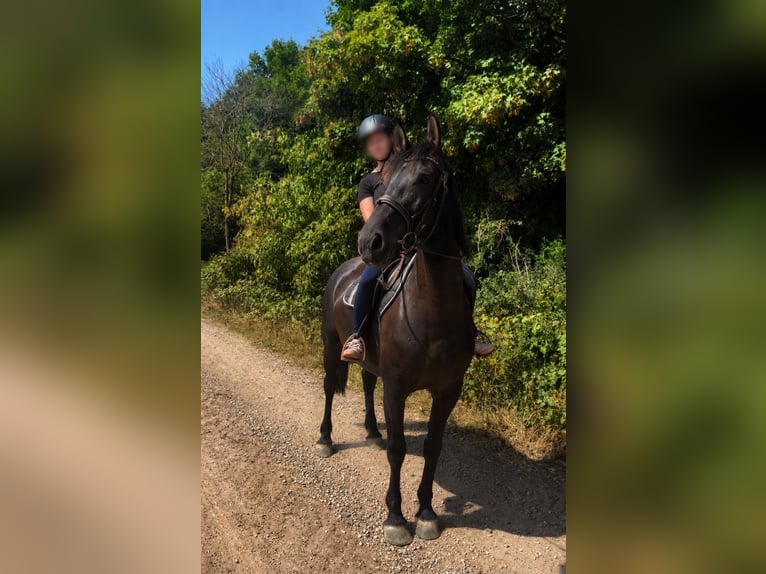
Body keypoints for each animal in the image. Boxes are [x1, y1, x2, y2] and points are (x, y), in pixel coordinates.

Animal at [316, 114, 475, 546]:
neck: (432, 316)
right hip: (330, 345)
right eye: (384, 183)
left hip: (372, 363)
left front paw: (426, 512)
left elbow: (433, 447)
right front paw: (396, 518)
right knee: (329, 387)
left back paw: (372, 431)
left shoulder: (448, 390)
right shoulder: (398, 385)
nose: (370, 241)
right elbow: (399, 450)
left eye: (425, 178)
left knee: (367, 383)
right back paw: (325, 438)